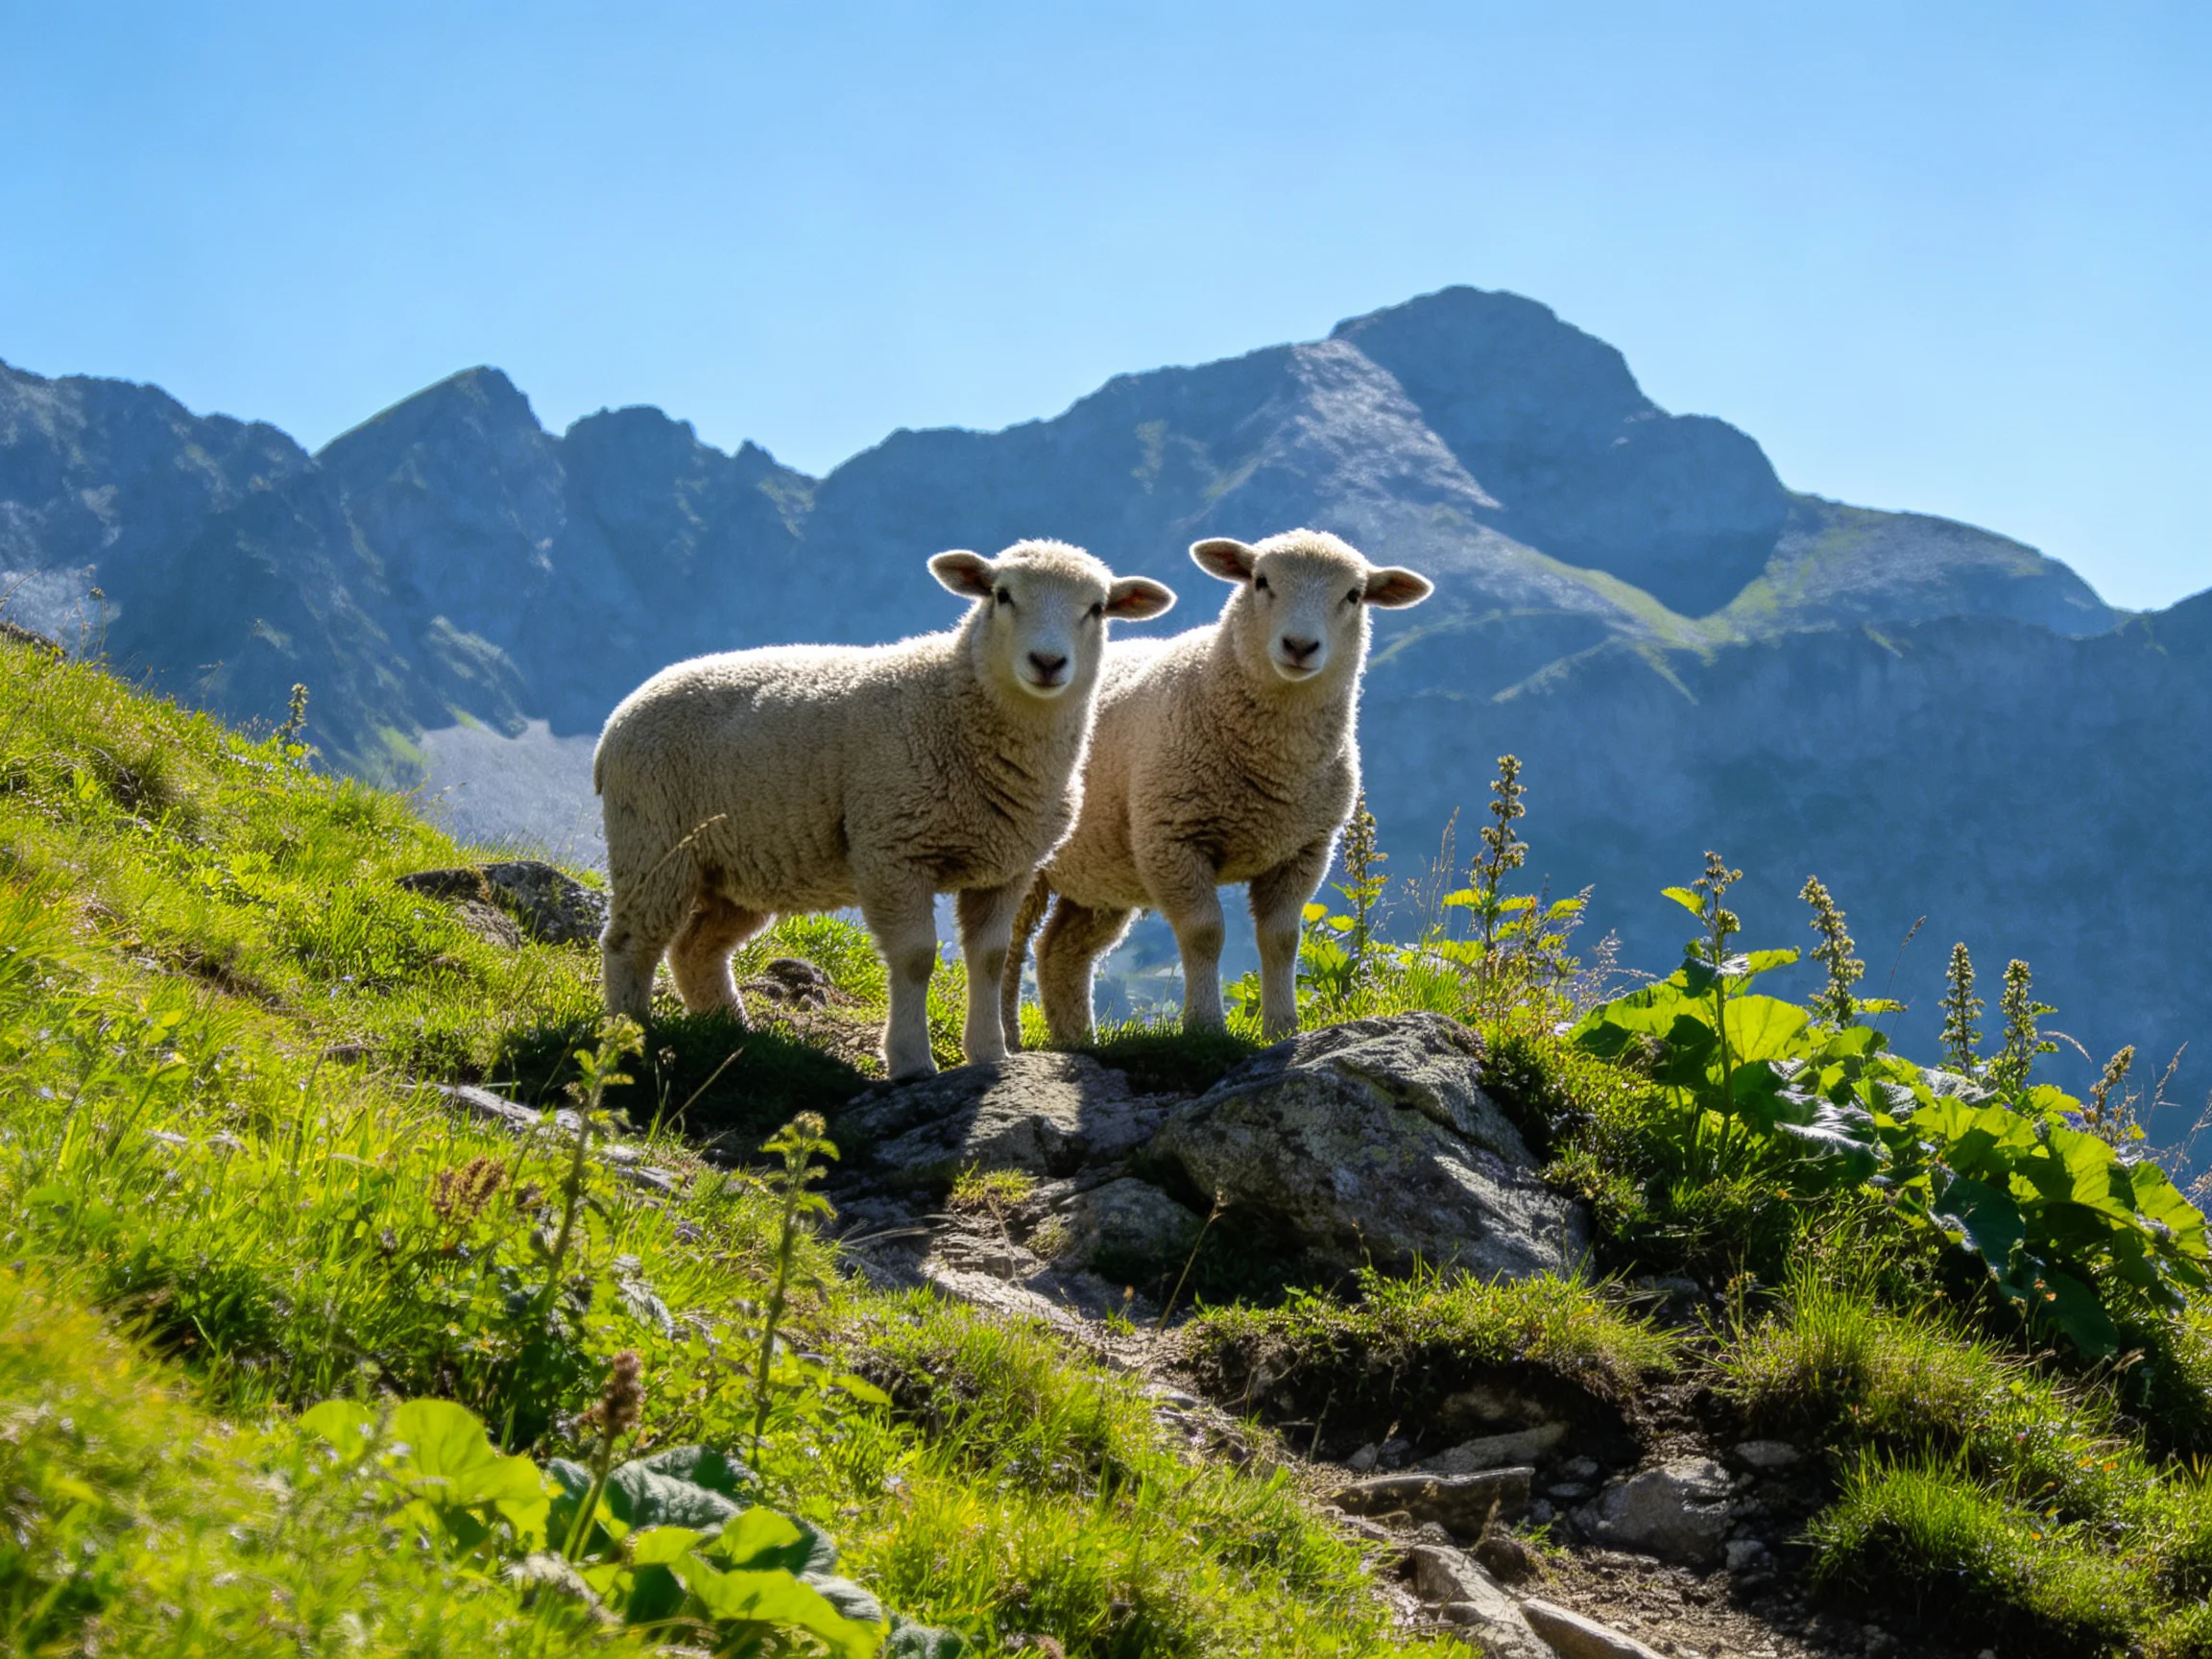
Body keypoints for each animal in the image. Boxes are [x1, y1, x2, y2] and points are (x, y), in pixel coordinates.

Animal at [594, 540, 1176, 1080]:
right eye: (1001, 595)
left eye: (1096, 608)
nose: (1048, 663)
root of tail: (619, 717)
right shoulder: (892, 850)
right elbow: (916, 958)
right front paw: (911, 1061)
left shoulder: (1007, 866)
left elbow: (989, 959)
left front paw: (989, 1055)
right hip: (655, 839)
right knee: (630, 941)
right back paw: (630, 1033)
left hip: (740, 864)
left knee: (696, 949)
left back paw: (731, 1033)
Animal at [1001, 529, 1431, 1047]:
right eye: (1260, 581)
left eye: (1353, 595)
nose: (1299, 645)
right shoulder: (1173, 840)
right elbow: (1204, 933)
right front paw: (1204, 1027)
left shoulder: (1304, 850)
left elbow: (1282, 939)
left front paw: (1283, 1028)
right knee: (1007, 947)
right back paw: (1008, 1037)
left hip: (1101, 868)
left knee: (1060, 951)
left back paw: (1077, 1042)